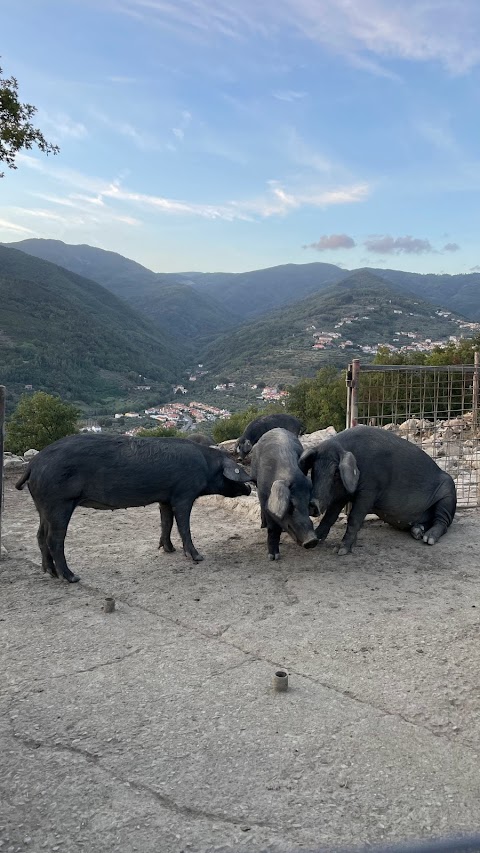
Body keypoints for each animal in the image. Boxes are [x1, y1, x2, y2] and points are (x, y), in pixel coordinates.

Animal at [15, 436, 251, 584]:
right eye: (237, 473)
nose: (250, 487)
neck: (206, 467)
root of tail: (34, 464)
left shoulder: (165, 498)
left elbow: (166, 522)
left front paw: (169, 549)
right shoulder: (183, 494)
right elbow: (183, 525)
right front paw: (197, 557)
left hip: (42, 506)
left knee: (40, 535)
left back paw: (50, 573)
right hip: (59, 502)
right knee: (54, 539)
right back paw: (72, 577)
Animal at [251, 426, 318, 560]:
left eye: (307, 504)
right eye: (290, 505)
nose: (312, 540)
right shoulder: (264, 495)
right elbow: (272, 528)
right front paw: (273, 557)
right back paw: (263, 525)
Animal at [300, 424, 458, 556]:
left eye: (336, 473)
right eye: (314, 470)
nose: (312, 504)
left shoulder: (370, 490)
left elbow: (354, 518)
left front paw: (340, 551)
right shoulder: (341, 495)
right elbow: (329, 517)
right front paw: (316, 540)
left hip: (448, 494)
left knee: (443, 522)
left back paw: (427, 539)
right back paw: (417, 532)